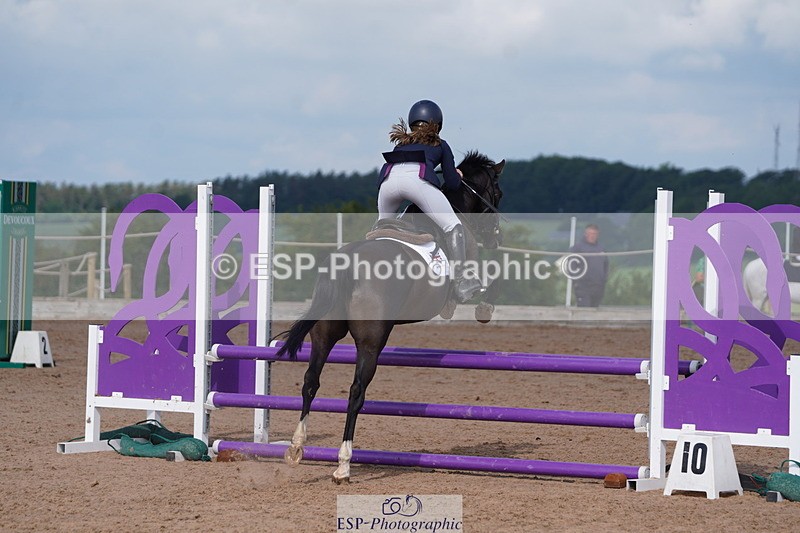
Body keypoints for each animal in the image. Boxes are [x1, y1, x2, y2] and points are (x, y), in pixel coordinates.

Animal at [275, 151, 505, 483]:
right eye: (498, 192)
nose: (496, 239)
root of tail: (347, 263)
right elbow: (488, 285)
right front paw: (483, 309)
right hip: (372, 342)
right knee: (356, 391)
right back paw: (343, 463)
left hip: (324, 335)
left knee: (310, 382)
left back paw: (296, 448)